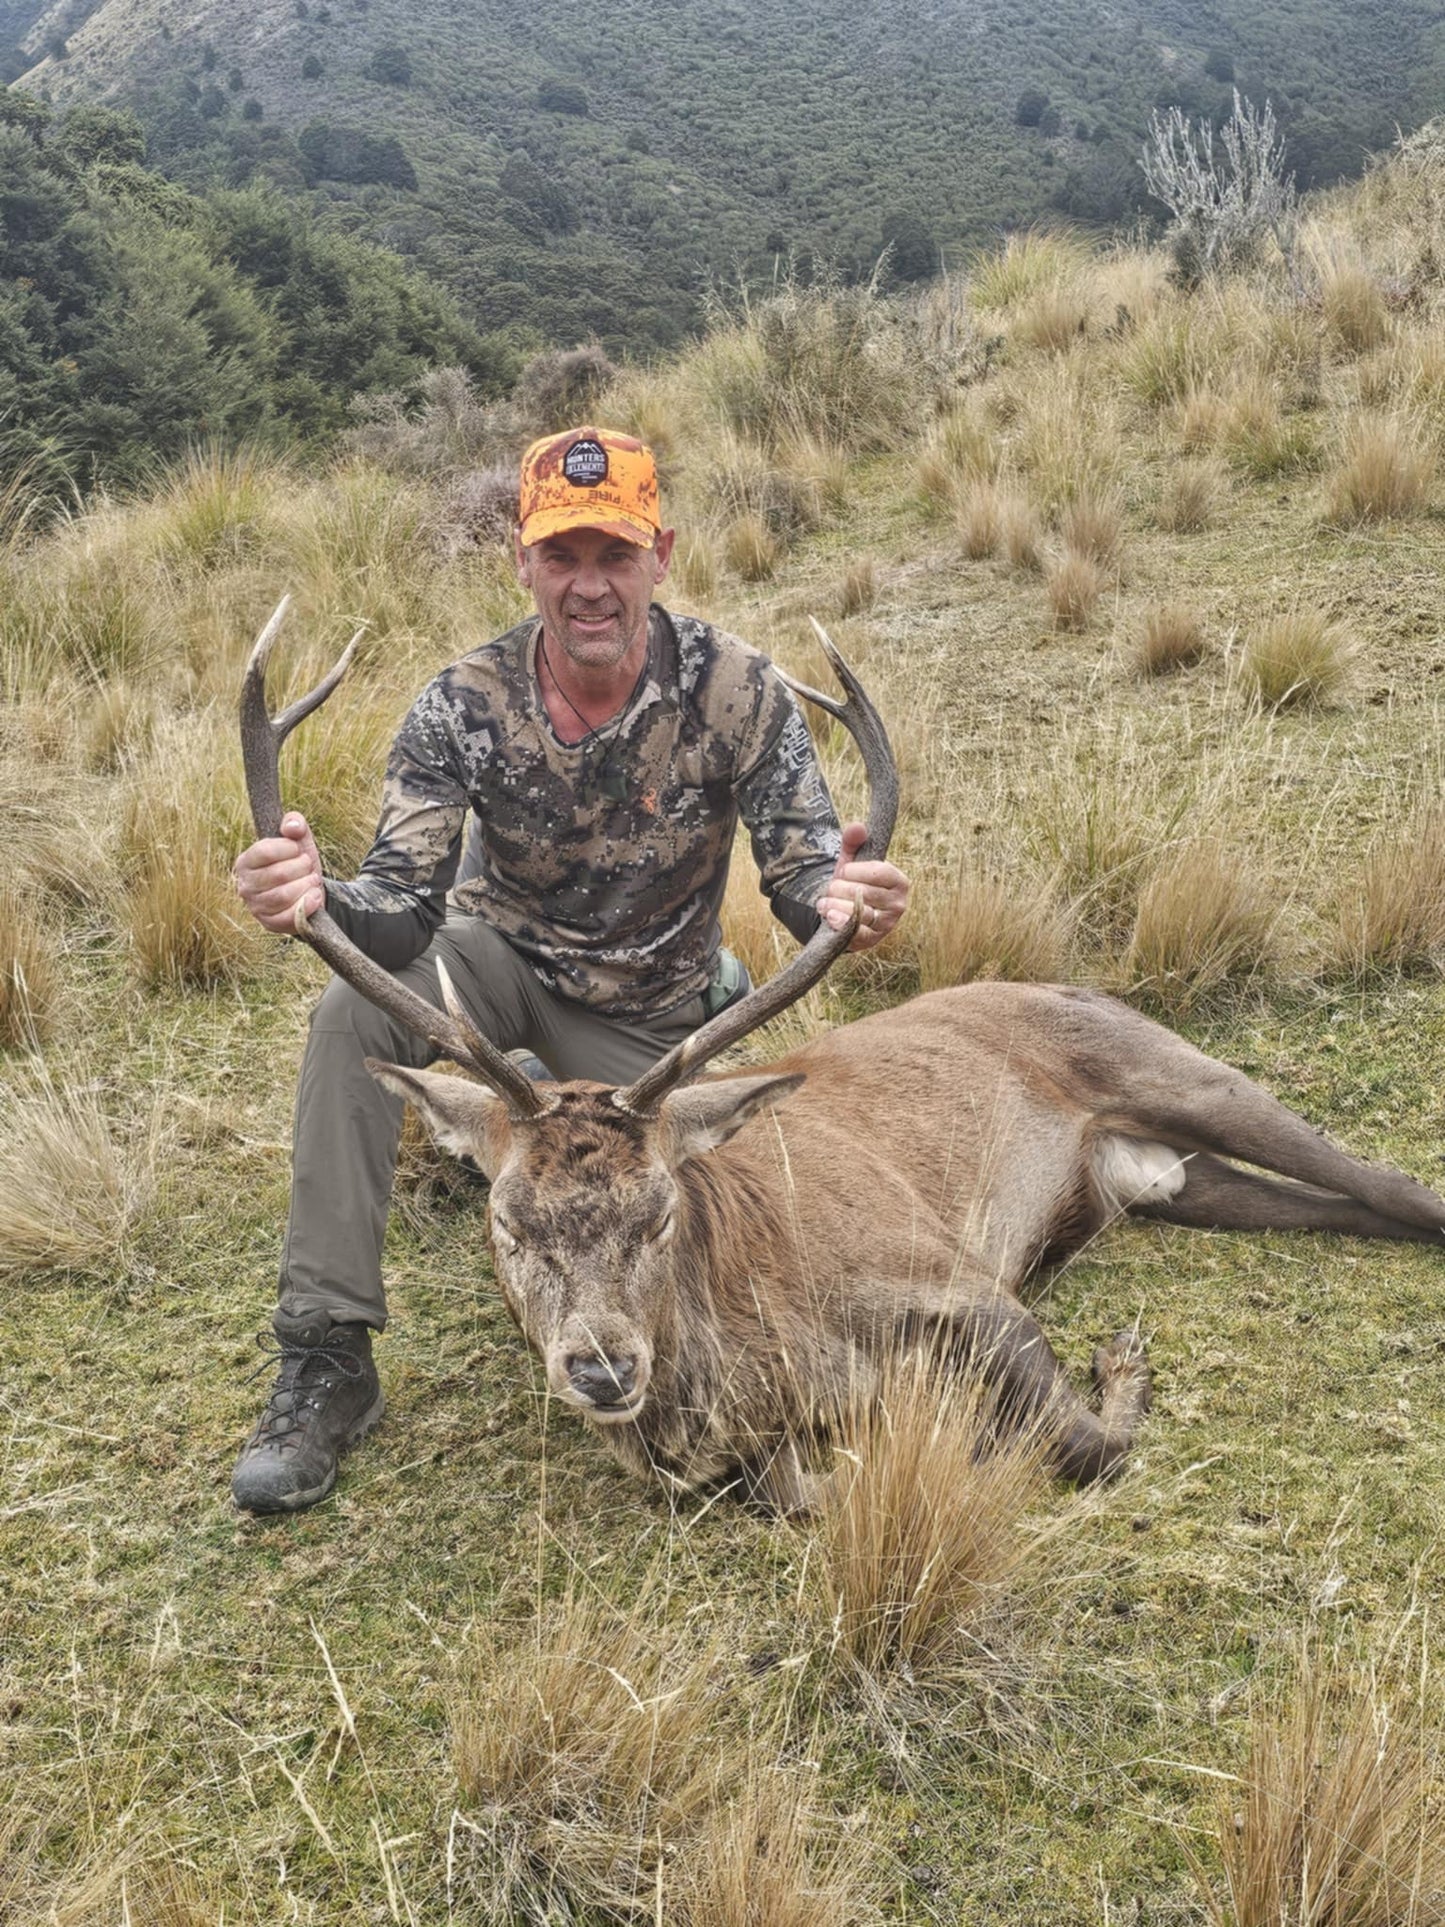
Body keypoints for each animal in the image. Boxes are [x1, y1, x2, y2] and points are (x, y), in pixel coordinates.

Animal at [242, 604, 1445, 1514]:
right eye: (506, 1221)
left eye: (660, 1212)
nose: (601, 1367)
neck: (766, 1354)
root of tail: (1069, 983)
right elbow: (798, 1489)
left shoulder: (960, 1284)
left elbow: (1080, 1444)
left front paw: (1119, 1363)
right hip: (1167, 1180)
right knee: (1336, 1205)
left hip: (1166, 1064)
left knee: (1390, 1184)